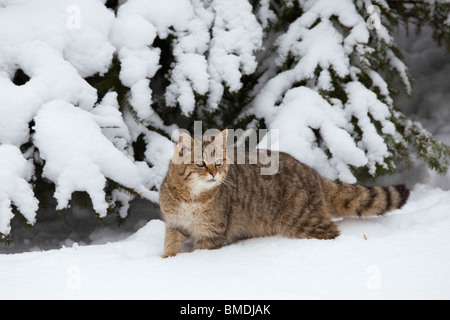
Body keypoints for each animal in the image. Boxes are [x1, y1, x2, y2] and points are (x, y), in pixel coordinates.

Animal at [160, 129, 410, 256]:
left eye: (219, 162)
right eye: (201, 164)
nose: (214, 173)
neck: (191, 198)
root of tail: (312, 172)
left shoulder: (211, 234)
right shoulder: (174, 224)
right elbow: (170, 245)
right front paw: (166, 260)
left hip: (303, 220)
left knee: (332, 231)